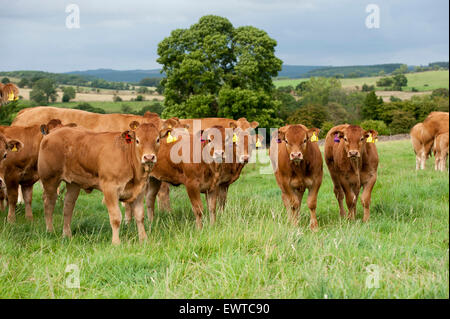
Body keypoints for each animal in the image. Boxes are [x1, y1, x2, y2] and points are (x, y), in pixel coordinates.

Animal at [37, 122, 170, 245]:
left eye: (157, 139)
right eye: (137, 140)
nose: (149, 157)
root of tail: (52, 133)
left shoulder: (139, 190)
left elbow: (139, 216)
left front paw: (144, 240)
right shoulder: (110, 189)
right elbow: (116, 217)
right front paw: (116, 242)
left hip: (74, 183)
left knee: (68, 207)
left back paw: (67, 234)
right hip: (50, 179)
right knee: (49, 203)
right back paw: (50, 230)